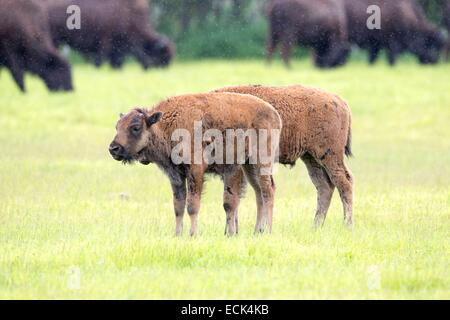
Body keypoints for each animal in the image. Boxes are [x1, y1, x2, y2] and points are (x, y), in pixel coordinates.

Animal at [109, 92, 282, 235]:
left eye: (136, 127)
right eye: (117, 126)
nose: (113, 148)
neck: (166, 125)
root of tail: (274, 114)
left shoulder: (196, 171)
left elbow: (194, 205)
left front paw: (194, 234)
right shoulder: (176, 175)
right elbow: (178, 206)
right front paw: (177, 234)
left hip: (262, 162)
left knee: (268, 191)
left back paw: (268, 230)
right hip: (249, 166)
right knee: (259, 193)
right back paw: (258, 230)